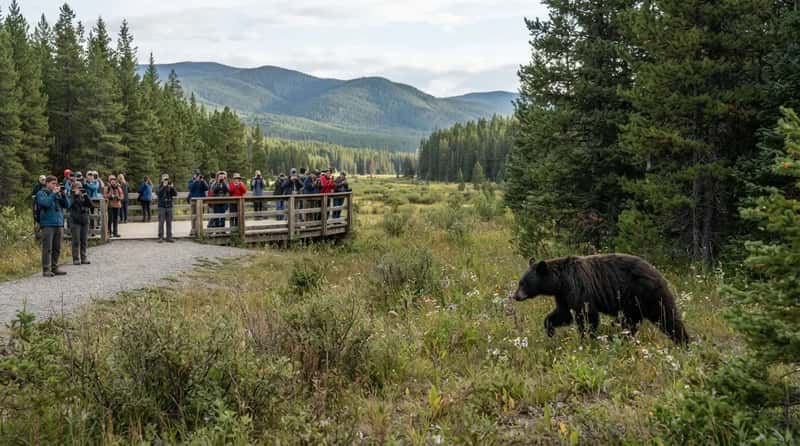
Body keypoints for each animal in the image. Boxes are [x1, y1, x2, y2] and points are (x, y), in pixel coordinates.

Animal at [511, 253, 689, 345]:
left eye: (524, 283)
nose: (515, 296)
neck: (560, 282)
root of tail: (658, 272)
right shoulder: (563, 295)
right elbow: (563, 313)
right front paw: (550, 329)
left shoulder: (578, 288)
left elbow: (586, 315)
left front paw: (586, 339)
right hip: (632, 304)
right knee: (630, 323)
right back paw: (622, 338)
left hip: (647, 294)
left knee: (667, 317)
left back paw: (684, 342)